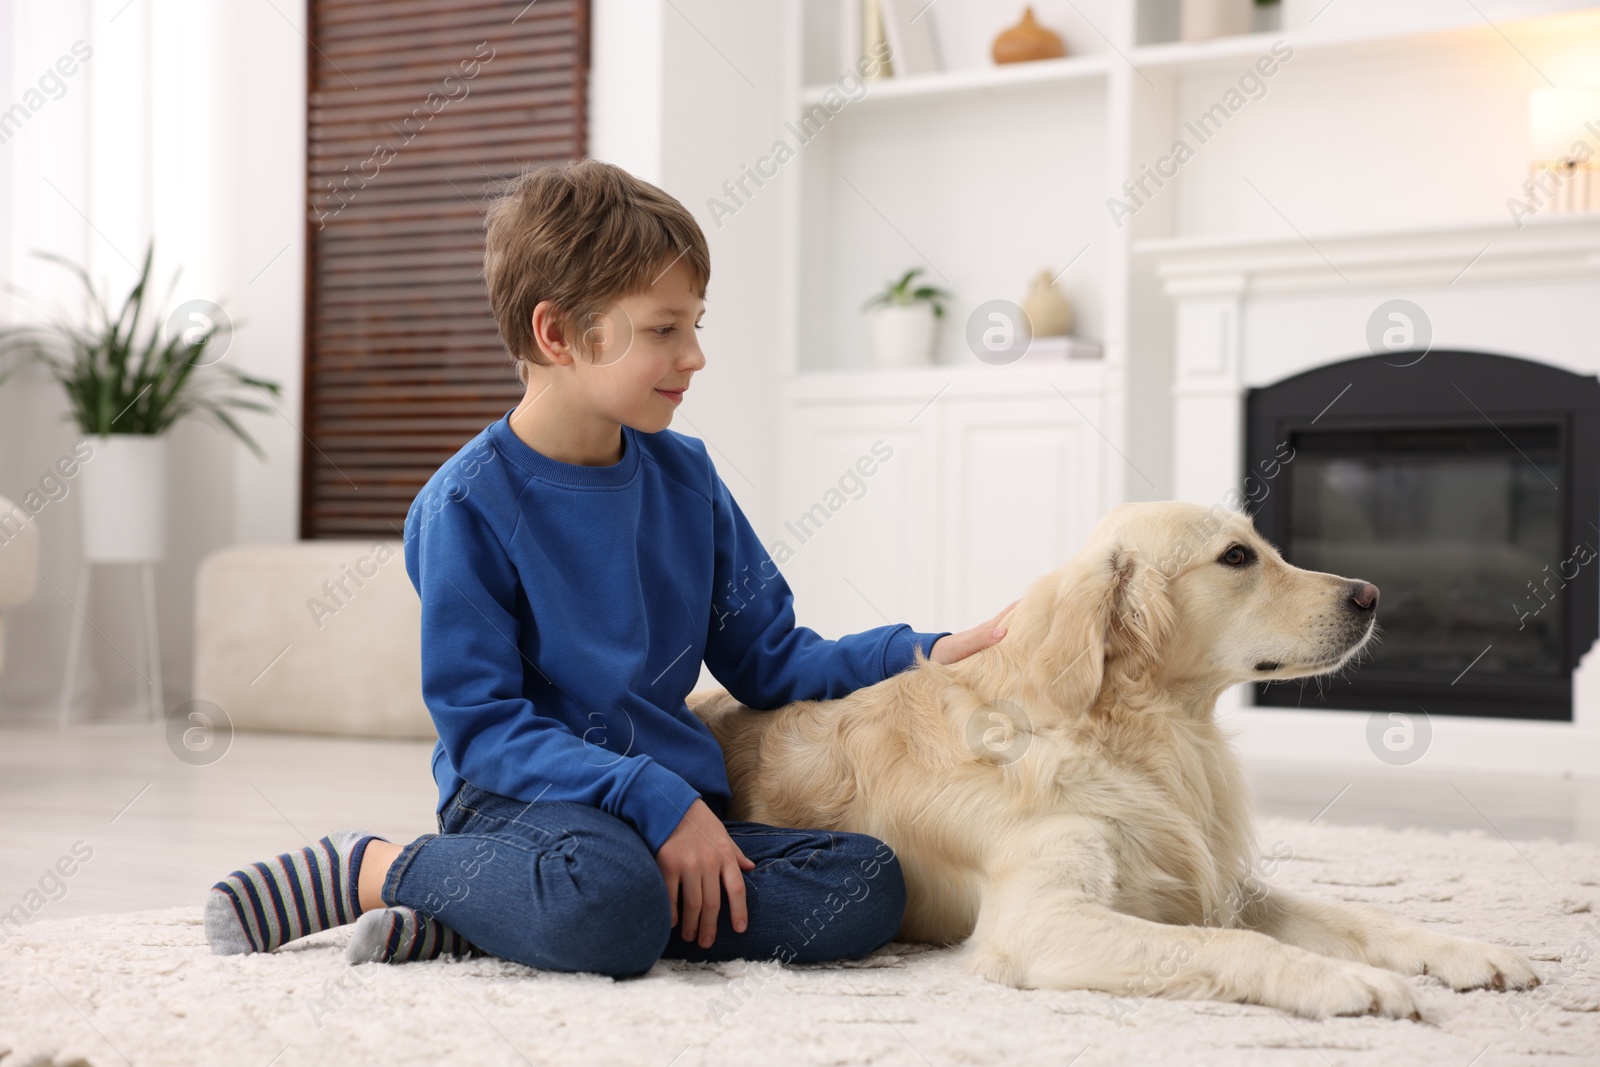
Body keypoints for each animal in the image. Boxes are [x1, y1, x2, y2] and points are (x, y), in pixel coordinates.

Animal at [694, 505, 1542, 1023]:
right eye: (1237, 557)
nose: (1370, 594)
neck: (1141, 732)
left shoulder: (1212, 879)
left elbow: (1355, 915)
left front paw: (1470, 951)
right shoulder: (1040, 921)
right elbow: (1234, 945)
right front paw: (1347, 981)